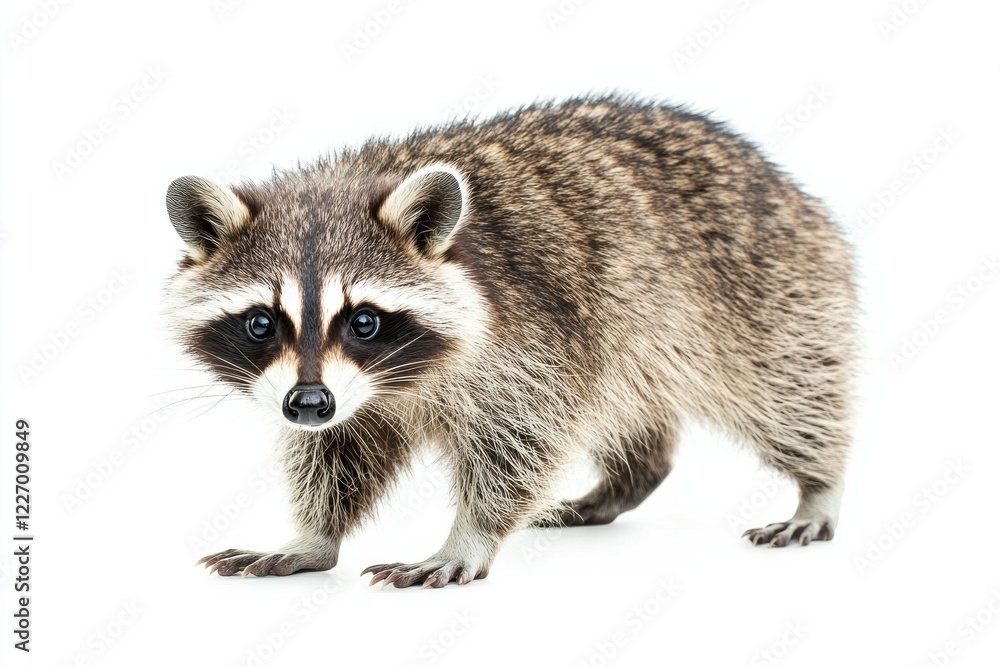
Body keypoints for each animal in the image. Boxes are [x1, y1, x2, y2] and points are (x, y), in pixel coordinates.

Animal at [164, 95, 857, 588]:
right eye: (262, 323)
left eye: (364, 321)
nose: (308, 404)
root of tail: (777, 177)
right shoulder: (341, 398)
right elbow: (335, 455)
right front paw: (313, 535)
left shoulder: (530, 339)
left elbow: (520, 440)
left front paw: (469, 534)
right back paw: (627, 481)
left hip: (764, 297)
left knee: (786, 392)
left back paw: (819, 484)